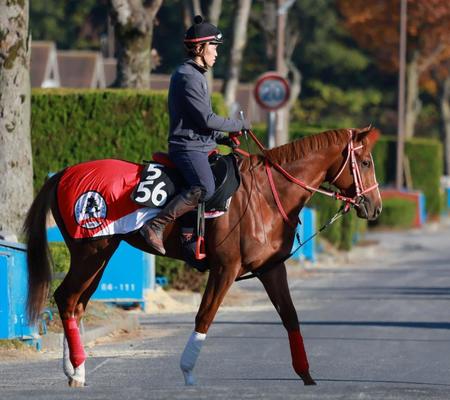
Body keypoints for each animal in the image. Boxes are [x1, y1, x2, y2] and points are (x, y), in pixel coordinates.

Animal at [23, 126, 384, 388]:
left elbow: (291, 317)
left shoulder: (271, 269)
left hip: (100, 253)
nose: (375, 206)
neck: (267, 195)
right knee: (67, 298)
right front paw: (187, 370)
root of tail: (64, 174)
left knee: (76, 304)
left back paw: (77, 371)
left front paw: (306, 374)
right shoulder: (225, 269)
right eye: (366, 163)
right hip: (91, 251)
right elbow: (204, 316)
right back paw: (76, 369)